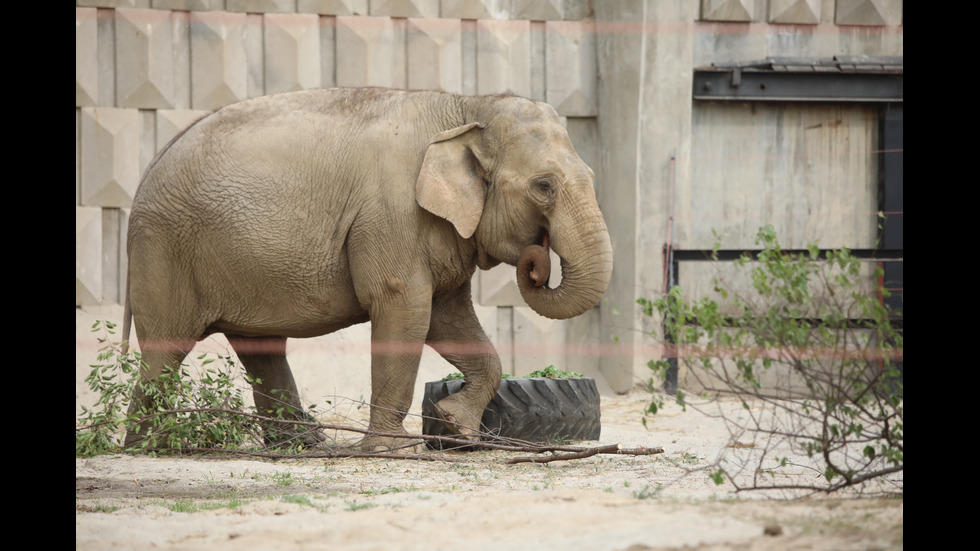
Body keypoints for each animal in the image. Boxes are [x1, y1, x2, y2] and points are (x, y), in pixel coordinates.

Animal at [122, 85, 612, 448]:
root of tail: (150, 165)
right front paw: (397, 449)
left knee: (261, 348)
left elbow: (447, 317)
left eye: (591, 177)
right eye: (544, 186)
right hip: (164, 250)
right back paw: (153, 446)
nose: (537, 263)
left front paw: (457, 429)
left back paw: (303, 445)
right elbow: (405, 307)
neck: (468, 105)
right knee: (165, 350)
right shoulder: (392, 216)